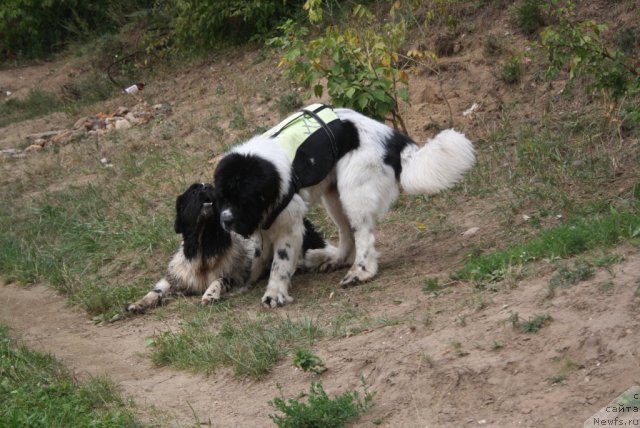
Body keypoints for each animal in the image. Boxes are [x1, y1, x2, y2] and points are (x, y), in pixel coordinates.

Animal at [126, 182, 324, 312]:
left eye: (210, 187)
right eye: (194, 190)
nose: (206, 188)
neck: (204, 248)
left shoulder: (236, 276)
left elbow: (218, 280)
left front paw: (210, 295)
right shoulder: (176, 277)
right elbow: (157, 290)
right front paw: (139, 303)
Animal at [215, 105, 476, 310]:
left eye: (242, 199)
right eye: (222, 199)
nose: (225, 221)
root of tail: (391, 136)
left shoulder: (288, 225)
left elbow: (280, 262)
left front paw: (274, 293)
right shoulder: (264, 223)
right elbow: (259, 257)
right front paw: (245, 283)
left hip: (353, 190)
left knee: (363, 235)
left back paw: (361, 271)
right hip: (334, 196)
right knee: (346, 231)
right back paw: (337, 260)